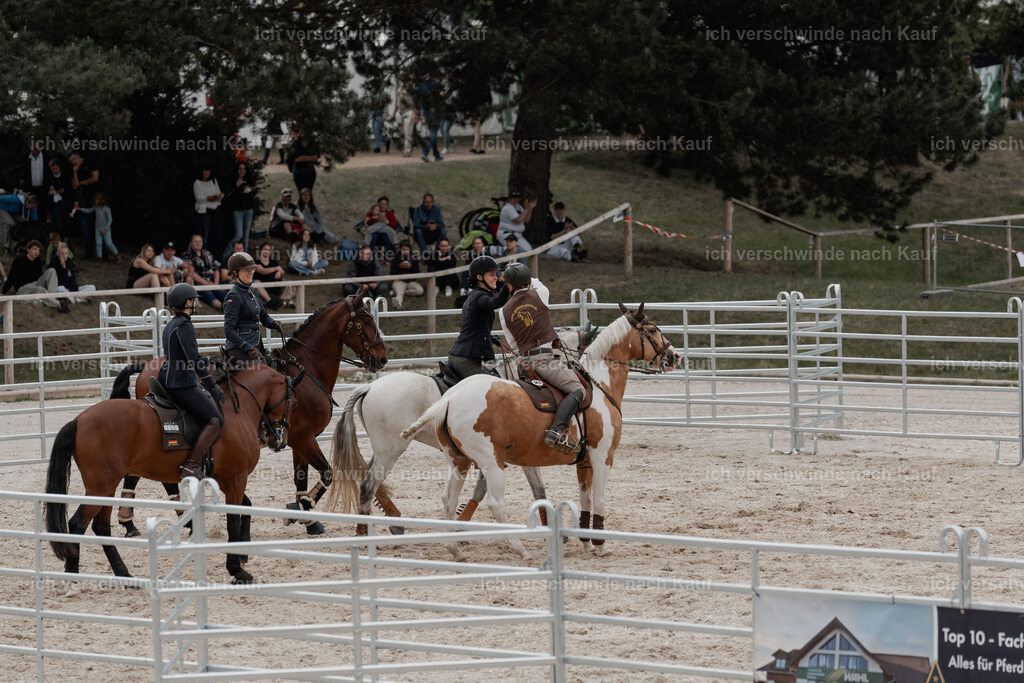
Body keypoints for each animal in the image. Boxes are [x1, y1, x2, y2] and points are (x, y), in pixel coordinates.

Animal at [45, 365, 296, 584]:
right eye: (292, 402)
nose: (278, 439)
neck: (238, 410)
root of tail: (79, 419)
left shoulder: (226, 480)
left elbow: (246, 508)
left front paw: (242, 557)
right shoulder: (236, 478)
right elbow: (233, 520)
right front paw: (236, 570)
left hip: (106, 487)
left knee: (101, 527)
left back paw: (123, 574)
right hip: (101, 487)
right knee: (78, 524)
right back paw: (73, 573)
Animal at [110, 292, 391, 537]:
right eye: (367, 320)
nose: (382, 359)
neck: (304, 370)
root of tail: (146, 366)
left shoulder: (298, 440)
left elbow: (300, 479)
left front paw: (307, 517)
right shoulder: (304, 438)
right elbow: (326, 473)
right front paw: (302, 510)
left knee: (137, 473)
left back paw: (132, 522)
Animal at [326, 327, 592, 533]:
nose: (582, 374)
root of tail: (369, 387)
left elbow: (528, 490)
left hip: (384, 448)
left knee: (366, 476)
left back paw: (392, 521)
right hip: (391, 449)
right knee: (368, 484)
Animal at [399, 304, 679, 560]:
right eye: (653, 330)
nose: (674, 356)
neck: (600, 385)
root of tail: (450, 397)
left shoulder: (584, 462)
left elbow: (585, 499)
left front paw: (586, 542)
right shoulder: (602, 457)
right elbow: (598, 500)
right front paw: (600, 545)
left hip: (460, 461)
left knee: (448, 498)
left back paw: (455, 549)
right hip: (491, 462)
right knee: (495, 503)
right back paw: (520, 549)